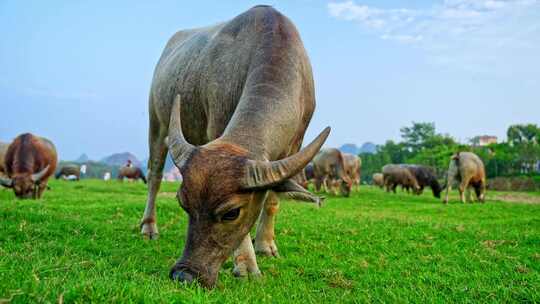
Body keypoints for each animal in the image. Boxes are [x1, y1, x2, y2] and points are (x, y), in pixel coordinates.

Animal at [138, 5, 330, 288]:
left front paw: (265, 245)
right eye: (183, 203)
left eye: (231, 213)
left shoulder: (296, 144)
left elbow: (272, 199)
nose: (184, 275)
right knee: (154, 175)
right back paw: (149, 227)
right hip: (157, 123)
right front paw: (247, 265)